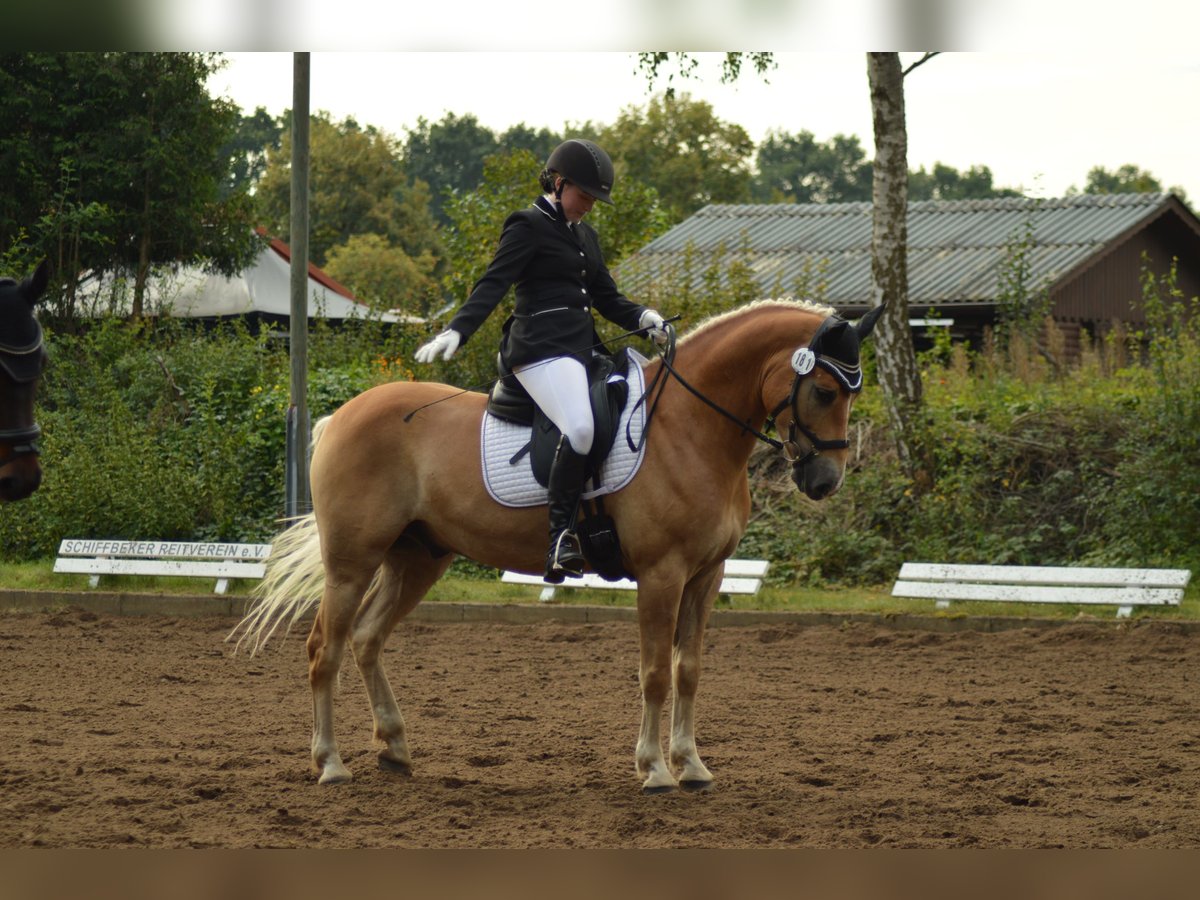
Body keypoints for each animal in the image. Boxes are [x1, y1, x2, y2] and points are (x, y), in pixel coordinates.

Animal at [234, 300, 888, 792]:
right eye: (825, 391)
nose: (824, 482)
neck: (691, 428)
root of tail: (340, 416)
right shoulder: (662, 575)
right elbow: (655, 672)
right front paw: (655, 770)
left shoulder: (708, 575)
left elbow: (690, 670)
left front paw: (693, 765)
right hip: (352, 563)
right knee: (325, 649)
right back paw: (330, 763)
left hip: (417, 558)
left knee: (367, 638)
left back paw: (394, 748)